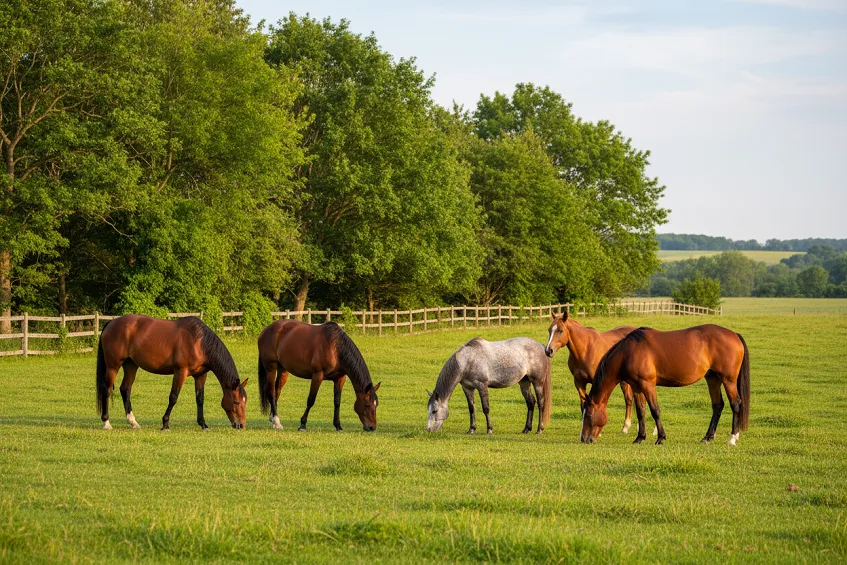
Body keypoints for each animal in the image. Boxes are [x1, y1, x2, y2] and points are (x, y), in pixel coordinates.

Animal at [96, 315, 248, 431]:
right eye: (236, 402)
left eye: (245, 401)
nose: (241, 425)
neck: (199, 342)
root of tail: (111, 323)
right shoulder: (180, 372)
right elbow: (173, 397)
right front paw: (165, 424)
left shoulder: (200, 375)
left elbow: (200, 399)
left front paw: (203, 424)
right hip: (113, 366)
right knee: (107, 389)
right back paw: (106, 423)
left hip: (131, 365)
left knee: (125, 389)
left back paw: (133, 422)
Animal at [581, 324, 750, 446]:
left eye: (588, 415)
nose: (584, 439)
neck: (629, 353)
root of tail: (734, 335)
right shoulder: (636, 387)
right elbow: (640, 412)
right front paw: (639, 438)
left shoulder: (648, 385)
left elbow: (655, 410)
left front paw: (660, 438)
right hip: (713, 378)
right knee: (717, 406)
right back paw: (707, 437)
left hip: (728, 380)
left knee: (735, 404)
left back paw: (732, 438)